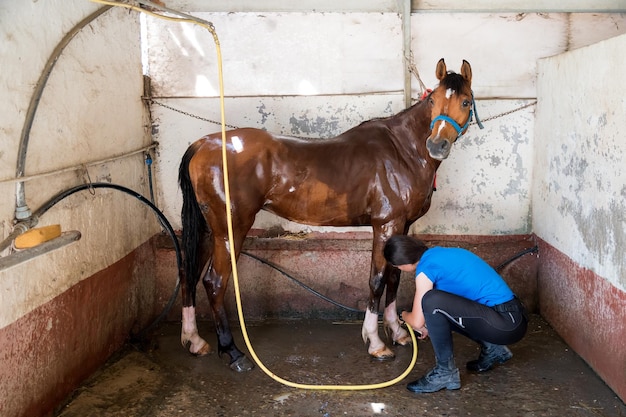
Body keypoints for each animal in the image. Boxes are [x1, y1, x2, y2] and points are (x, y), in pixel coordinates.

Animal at [178, 58, 476, 370]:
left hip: (208, 230)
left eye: (465, 101)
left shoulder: (401, 227)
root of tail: (204, 144)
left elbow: (395, 277)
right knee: (214, 281)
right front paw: (376, 342)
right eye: (432, 100)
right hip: (230, 230)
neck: (402, 151)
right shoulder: (386, 225)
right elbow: (377, 280)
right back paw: (233, 351)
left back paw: (195, 341)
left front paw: (397, 332)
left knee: (188, 272)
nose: (437, 145)